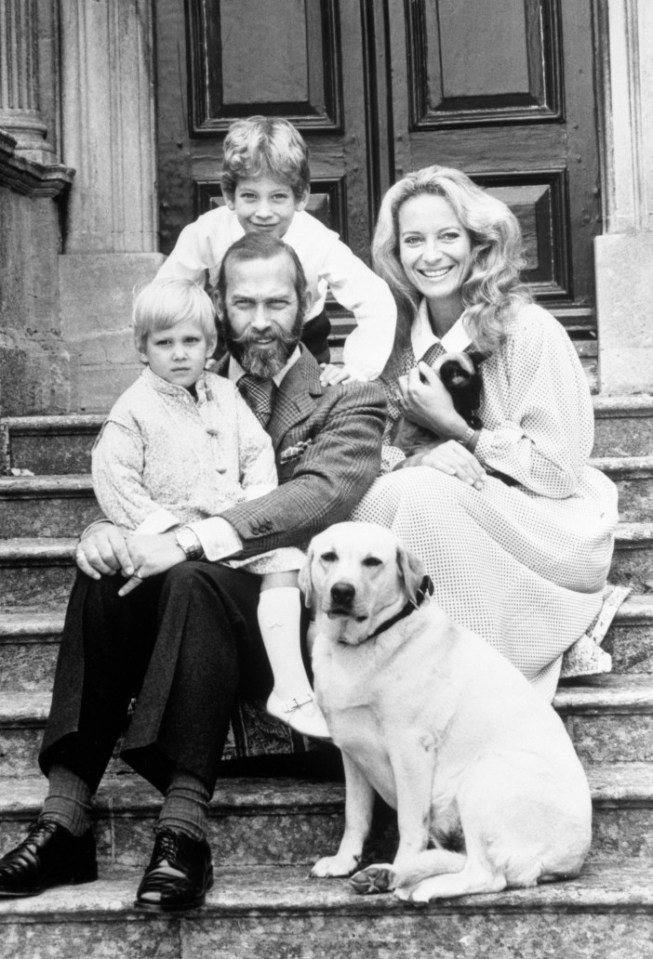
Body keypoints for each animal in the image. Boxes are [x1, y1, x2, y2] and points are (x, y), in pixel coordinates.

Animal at [300, 520, 592, 904]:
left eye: (372, 562)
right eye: (328, 557)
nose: (342, 592)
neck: (366, 641)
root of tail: (571, 859)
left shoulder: (411, 751)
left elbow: (410, 824)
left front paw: (399, 865)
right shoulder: (352, 752)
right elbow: (355, 816)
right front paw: (343, 860)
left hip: (485, 775)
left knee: (488, 876)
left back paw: (412, 882)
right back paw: (384, 875)